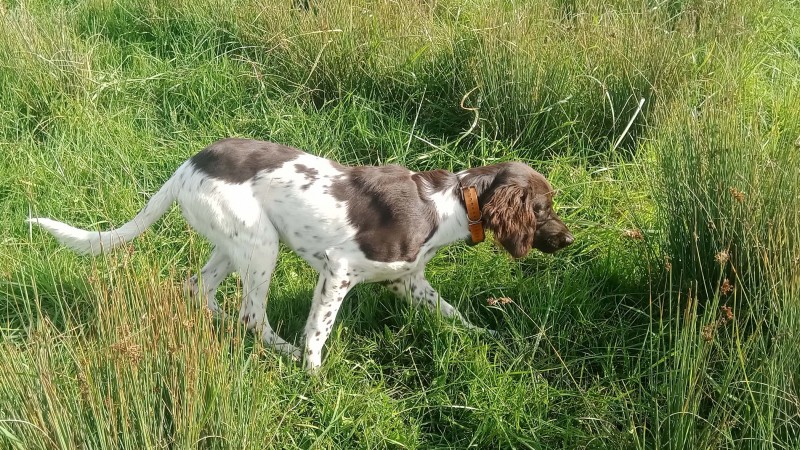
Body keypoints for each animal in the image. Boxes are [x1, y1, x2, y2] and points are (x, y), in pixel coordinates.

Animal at [28, 139, 572, 370]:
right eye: (544, 208)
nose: (569, 240)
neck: (450, 204)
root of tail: (187, 165)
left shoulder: (409, 279)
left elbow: (452, 312)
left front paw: (489, 335)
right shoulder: (338, 269)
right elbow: (319, 331)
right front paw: (314, 376)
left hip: (237, 242)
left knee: (199, 288)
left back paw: (218, 326)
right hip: (259, 245)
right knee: (252, 315)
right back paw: (282, 351)